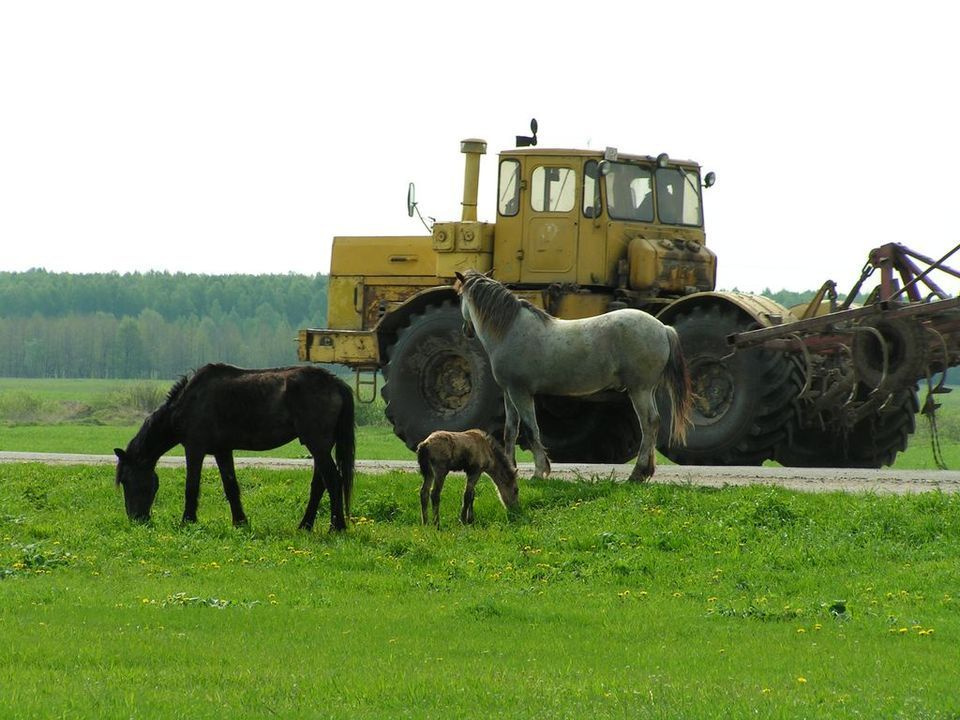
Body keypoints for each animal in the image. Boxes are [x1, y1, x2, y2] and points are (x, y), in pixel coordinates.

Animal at [114, 363, 355, 531]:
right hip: (320, 446)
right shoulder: (222, 451)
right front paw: (240, 522)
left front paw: (187, 521)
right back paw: (305, 526)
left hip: (318, 445)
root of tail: (335, 383)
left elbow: (191, 487)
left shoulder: (194, 449)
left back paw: (336, 527)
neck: (189, 403)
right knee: (320, 485)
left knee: (334, 481)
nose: (136, 519)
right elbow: (231, 487)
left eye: (125, 479)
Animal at [454, 269, 693, 482]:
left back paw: (637, 474)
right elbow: (510, 431)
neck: (510, 330)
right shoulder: (509, 392)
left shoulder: (521, 392)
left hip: (639, 390)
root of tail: (662, 328)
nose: (466, 330)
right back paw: (645, 472)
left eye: (459, 297)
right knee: (653, 423)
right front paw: (512, 469)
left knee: (649, 423)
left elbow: (531, 430)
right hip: (646, 389)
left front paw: (539, 472)